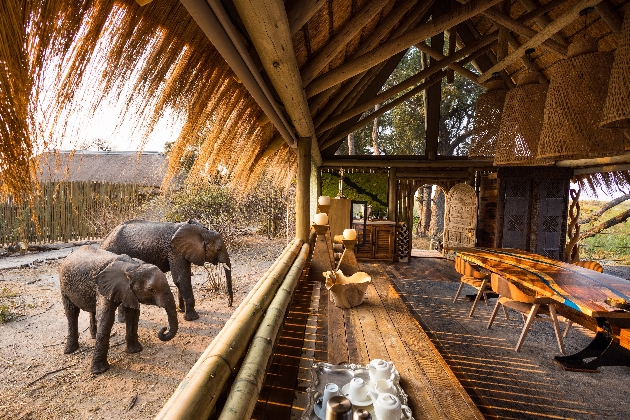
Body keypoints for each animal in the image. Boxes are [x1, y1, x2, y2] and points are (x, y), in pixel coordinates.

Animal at [59, 246, 179, 374]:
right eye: (151, 289)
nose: (164, 329)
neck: (132, 267)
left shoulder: (128, 291)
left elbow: (133, 314)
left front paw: (135, 351)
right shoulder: (103, 288)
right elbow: (106, 318)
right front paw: (99, 371)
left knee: (91, 309)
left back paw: (93, 336)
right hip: (63, 285)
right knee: (71, 312)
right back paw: (69, 350)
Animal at [100, 218, 233, 320]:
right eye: (219, 249)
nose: (229, 304)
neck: (200, 231)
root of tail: (104, 241)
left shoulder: (182, 251)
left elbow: (182, 278)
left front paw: (181, 310)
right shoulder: (174, 251)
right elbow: (181, 278)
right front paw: (193, 318)